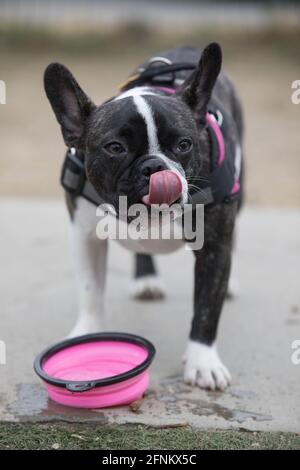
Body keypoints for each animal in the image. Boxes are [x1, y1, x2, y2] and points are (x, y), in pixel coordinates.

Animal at [43, 43, 243, 390]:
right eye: (115, 148)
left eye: (184, 144)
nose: (154, 166)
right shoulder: (84, 235)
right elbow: (90, 288)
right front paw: (87, 334)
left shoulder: (214, 245)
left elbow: (207, 306)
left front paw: (203, 362)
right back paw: (146, 279)